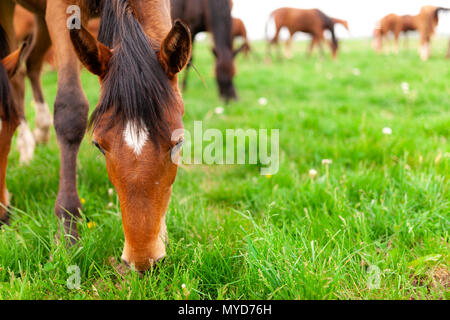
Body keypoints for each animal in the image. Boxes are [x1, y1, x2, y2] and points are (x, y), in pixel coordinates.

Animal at [0, 0, 192, 272]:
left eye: (179, 143)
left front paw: (162, 234)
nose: (142, 261)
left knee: (32, 63)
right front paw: (68, 232)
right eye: (98, 145)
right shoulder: (61, 10)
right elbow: (71, 110)